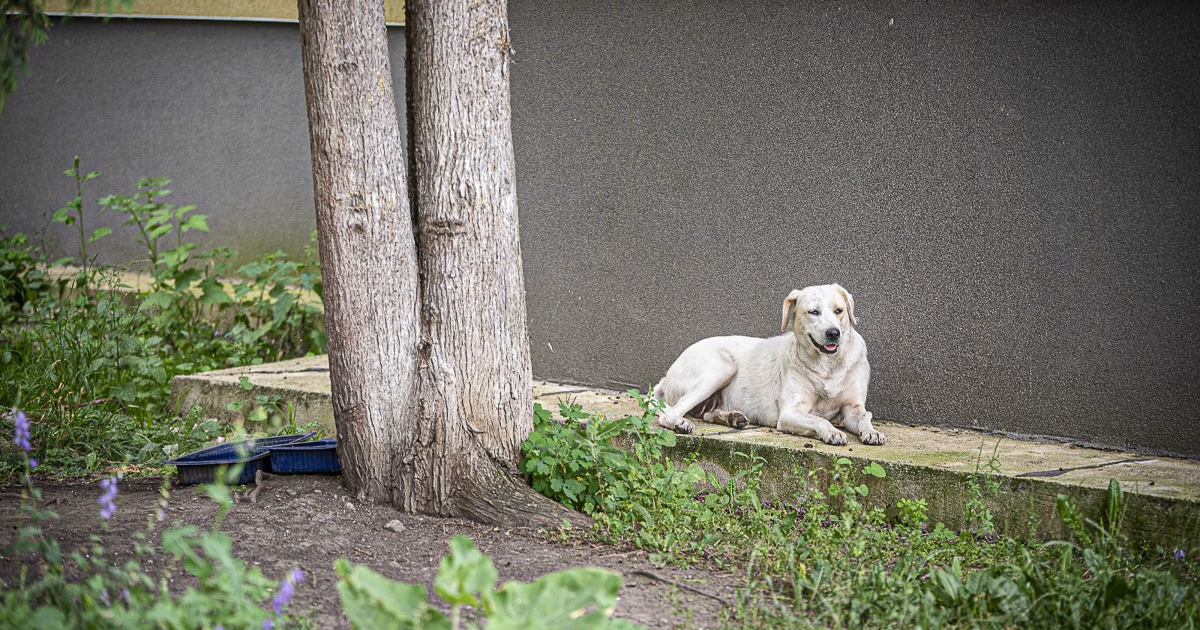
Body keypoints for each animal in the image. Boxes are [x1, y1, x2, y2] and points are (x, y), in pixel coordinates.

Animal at [652, 282, 888, 444]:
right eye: (814, 312)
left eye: (839, 310)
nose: (833, 333)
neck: (828, 366)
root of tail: (666, 376)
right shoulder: (790, 413)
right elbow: (820, 420)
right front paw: (832, 431)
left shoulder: (852, 407)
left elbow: (864, 417)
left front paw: (872, 432)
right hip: (723, 367)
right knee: (669, 413)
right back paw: (681, 423)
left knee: (707, 413)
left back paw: (732, 418)